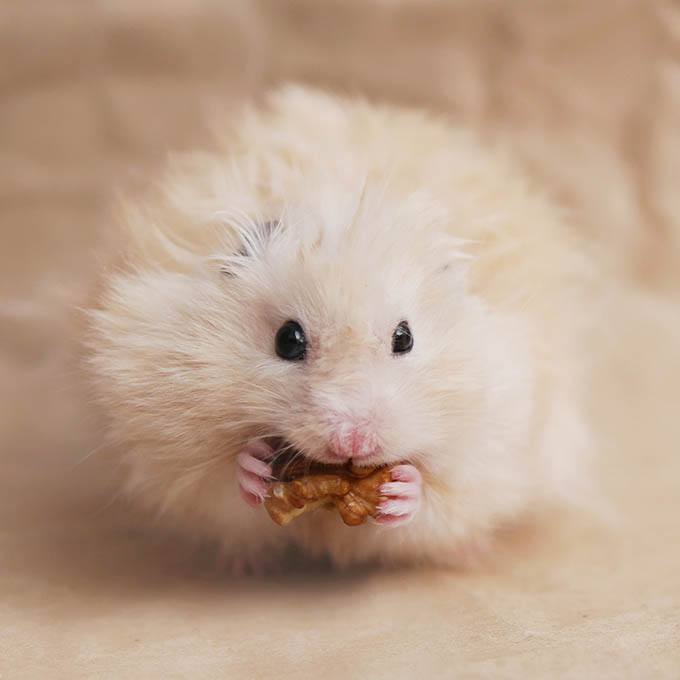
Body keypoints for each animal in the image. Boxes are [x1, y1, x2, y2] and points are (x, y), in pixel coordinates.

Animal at [84, 85, 593, 572]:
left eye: (404, 338)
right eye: (287, 340)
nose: (354, 441)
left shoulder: (494, 443)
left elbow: (436, 496)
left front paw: (401, 489)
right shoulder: (165, 435)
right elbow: (219, 480)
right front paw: (253, 467)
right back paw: (241, 564)